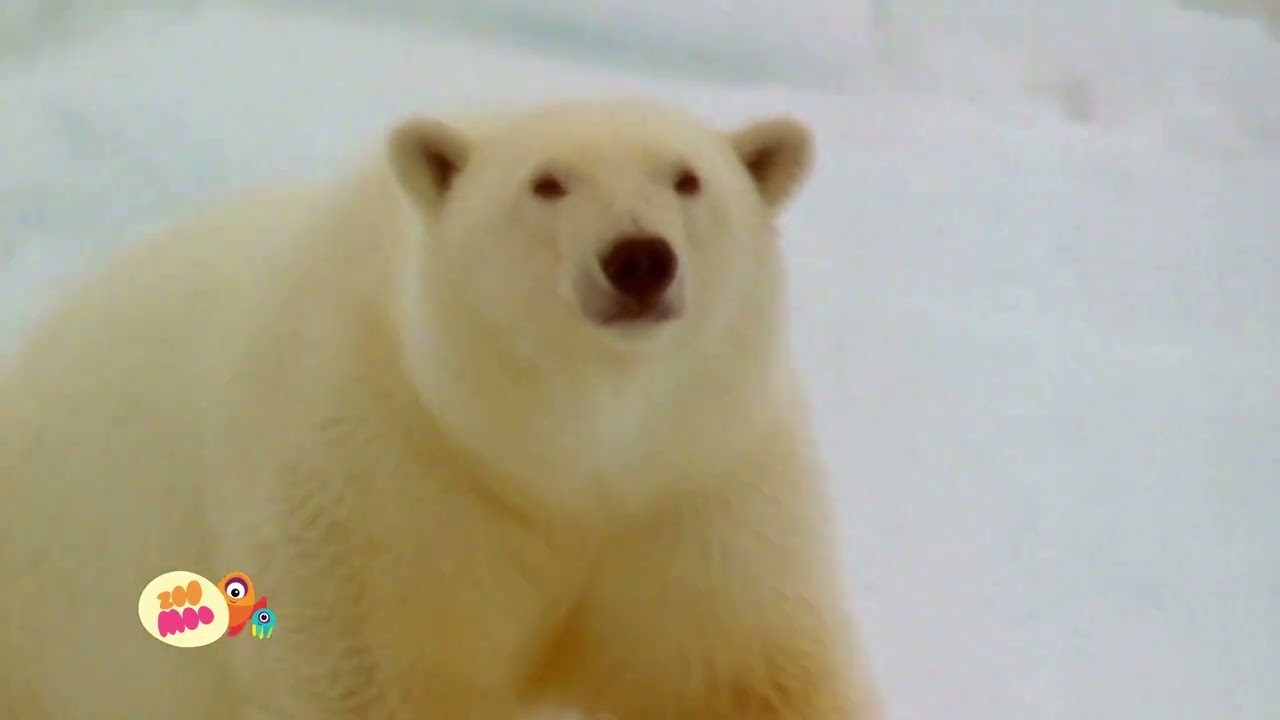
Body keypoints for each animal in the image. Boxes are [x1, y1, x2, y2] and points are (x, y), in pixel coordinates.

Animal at [0, 97, 883, 720]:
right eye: (548, 181)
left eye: (687, 178)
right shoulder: (380, 487)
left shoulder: (696, 492)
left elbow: (745, 675)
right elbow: (378, 680)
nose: (638, 258)